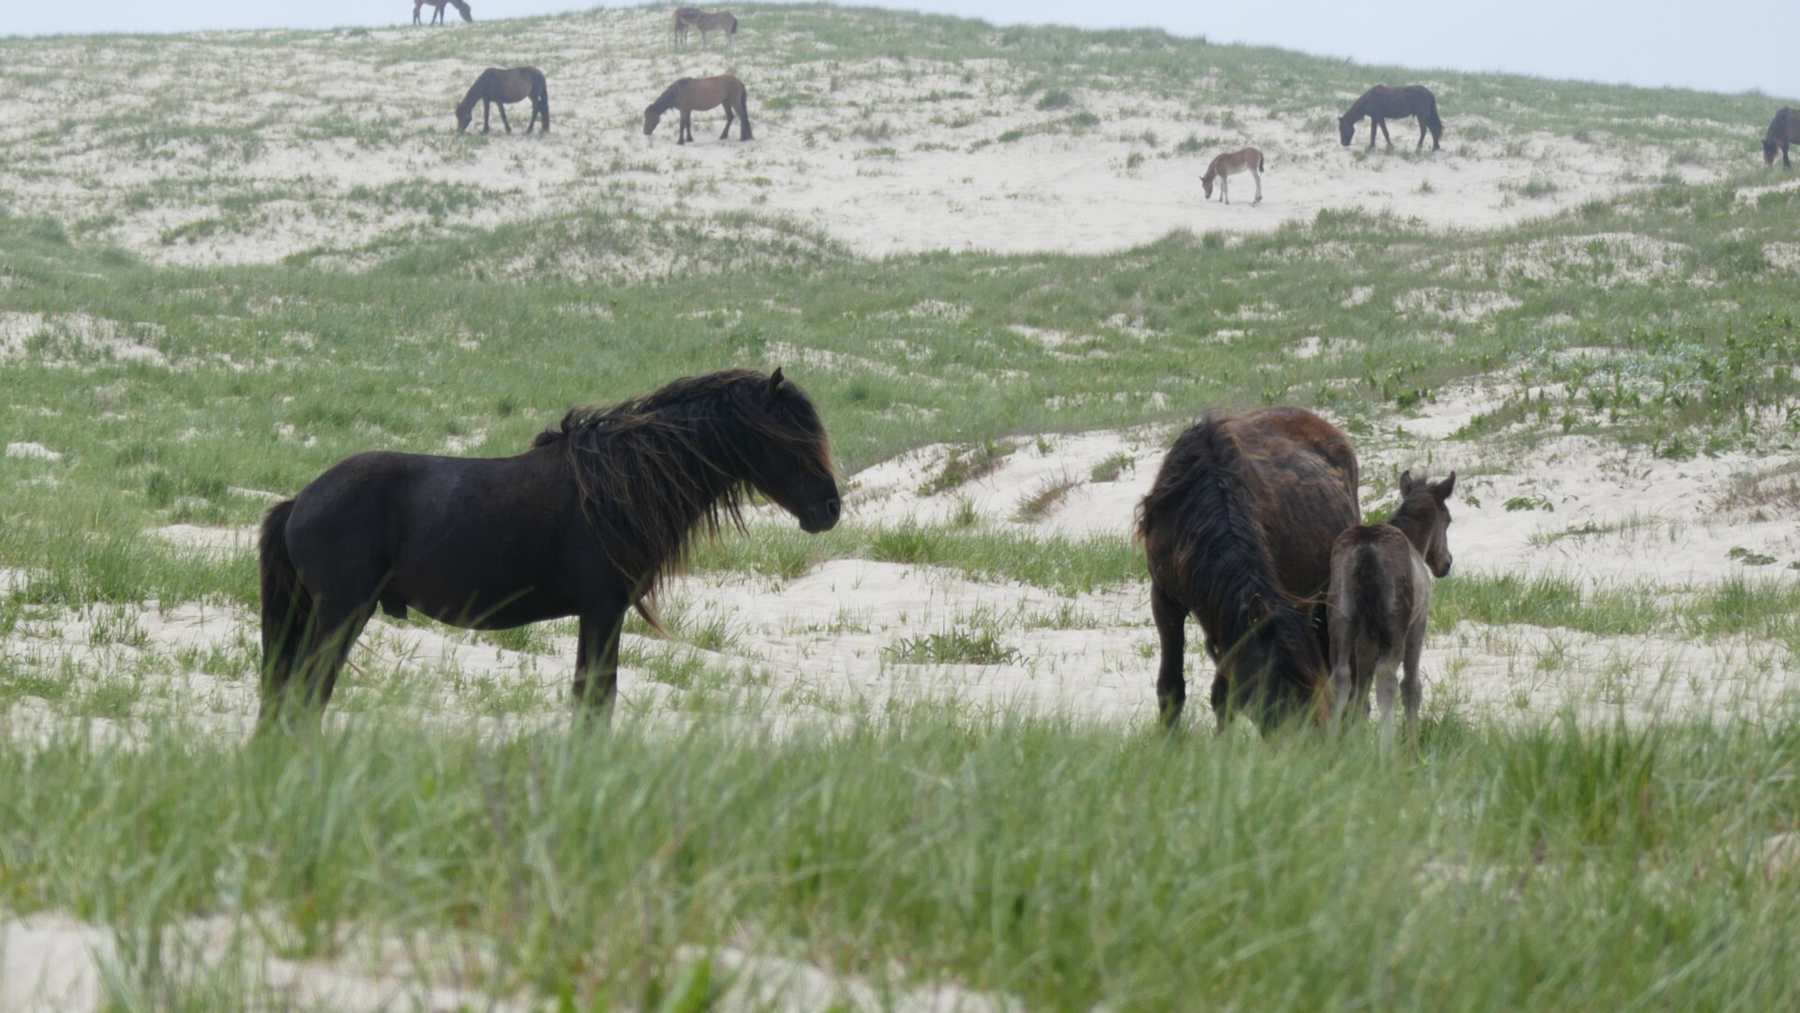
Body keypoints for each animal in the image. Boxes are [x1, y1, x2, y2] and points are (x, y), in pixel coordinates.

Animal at [256, 368, 840, 728]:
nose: (829, 510)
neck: (620, 486)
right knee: (308, 691)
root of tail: (300, 500)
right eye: (790, 440)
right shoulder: (604, 611)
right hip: (342, 613)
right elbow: (595, 701)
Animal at [1326, 471, 1455, 746]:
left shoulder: (1365, 637)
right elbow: (1412, 686)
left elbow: (1361, 692)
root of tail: (1366, 550)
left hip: (1341, 618)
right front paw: (1412, 743)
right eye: (1448, 520)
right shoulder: (1419, 623)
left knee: (1341, 676)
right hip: (1394, 624)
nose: (1446, 563)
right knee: (1386, 677)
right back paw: (1388, 747)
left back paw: (1331, 744)